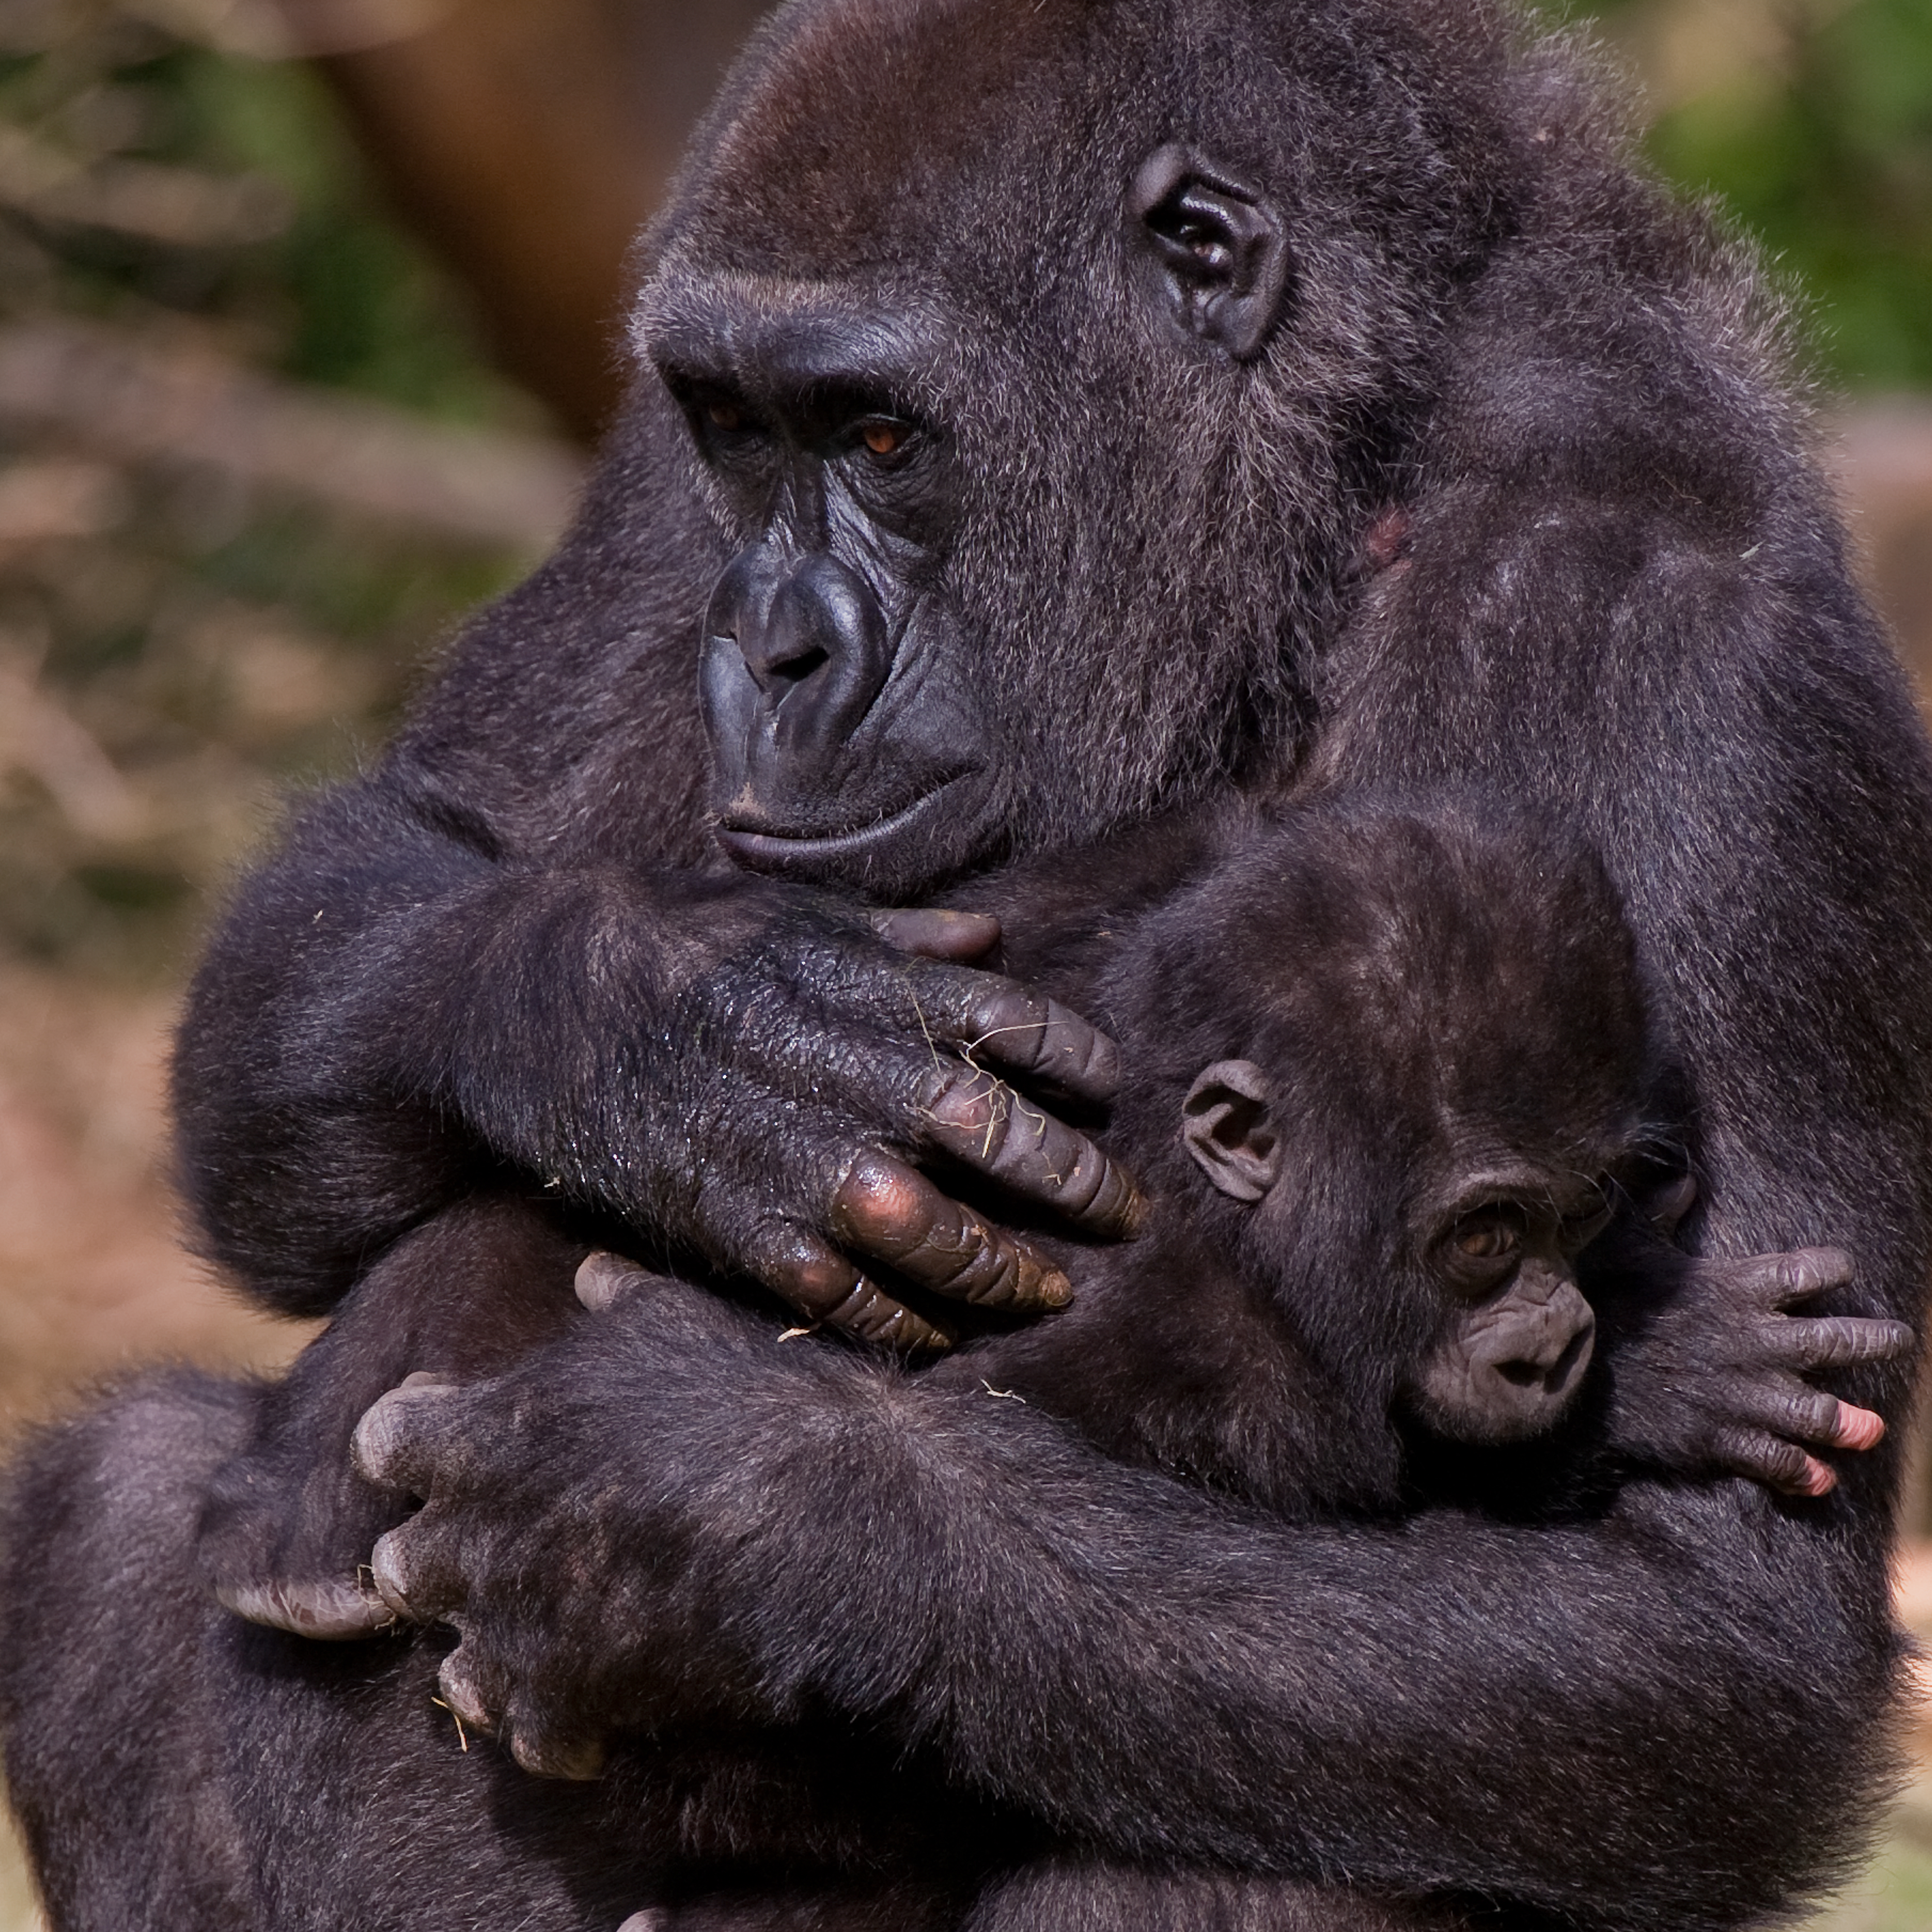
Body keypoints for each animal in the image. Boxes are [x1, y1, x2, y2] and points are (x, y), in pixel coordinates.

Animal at [7, 0, 1932, 1925]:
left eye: (879, 441)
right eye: (741, 430)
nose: (771, 649)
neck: (1335, 471)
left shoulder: (1690, 642)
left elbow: (1695, 1633)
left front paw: (718, 1500)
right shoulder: (662, 476)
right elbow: (356, 907)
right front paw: (681, 1040)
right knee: (124, 1492)